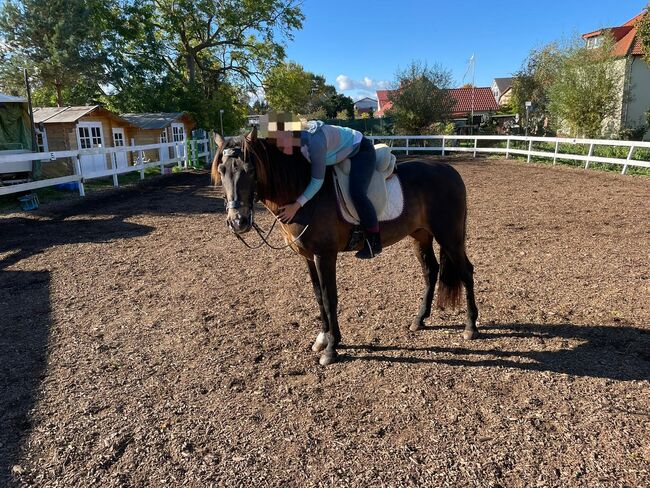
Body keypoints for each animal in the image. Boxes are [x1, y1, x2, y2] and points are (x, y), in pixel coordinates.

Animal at [210, 130, 478, 366]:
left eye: (249, 170)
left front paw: (331, 348)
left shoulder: (325, 255)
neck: (303, 194)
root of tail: (449, 170)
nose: (238, 221)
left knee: (466, 272)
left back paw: (470, 327)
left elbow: (330, 298)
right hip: (420, 236)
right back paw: (420, 320)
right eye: (222, 171)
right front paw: (323, 338)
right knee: (431, 271)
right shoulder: (308, 257)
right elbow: (318, 297)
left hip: (450, 237)